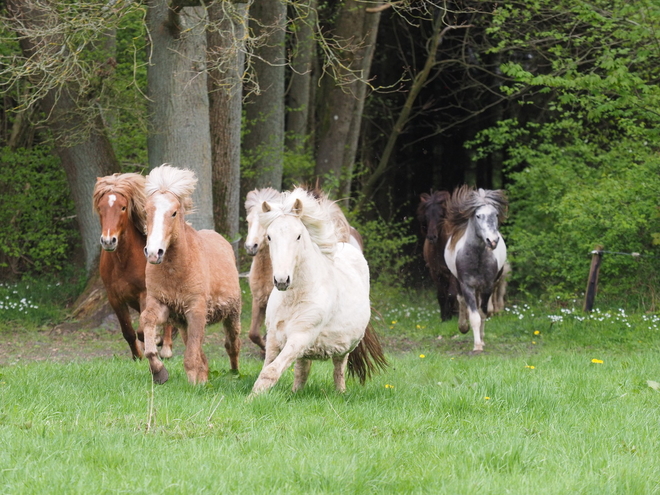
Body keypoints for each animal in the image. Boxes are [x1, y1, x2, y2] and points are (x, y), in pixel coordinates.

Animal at [93, 174, 175, 360]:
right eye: (100, 208)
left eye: (123, 207)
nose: (108, 241)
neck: (123, 262)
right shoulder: (115, 298)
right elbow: (128, 332)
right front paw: (138, 356)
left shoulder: (144, 294)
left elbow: (142, 331)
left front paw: (155, 343)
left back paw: (166, 348)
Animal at [141, 165, 242, 386]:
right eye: (146, 211)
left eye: (173, 212)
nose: (153, 252)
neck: (176, 270)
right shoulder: (162, 304)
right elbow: (148, 323)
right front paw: (159, 372)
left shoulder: (196, 310)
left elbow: (191, 354)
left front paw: (195, 384)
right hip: (183, 322)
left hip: (232, 315)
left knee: (232, 345)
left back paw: (235, 373)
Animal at [251, 188, 386, 398]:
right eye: (270, 237)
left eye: (298, 236)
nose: (281, 280)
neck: (294, 298)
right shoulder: (273, 336)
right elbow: (268, 367)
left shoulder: (301, 335)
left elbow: (270, 371)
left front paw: (251, 399)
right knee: (302, 370)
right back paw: (296, 393)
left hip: (344, 348)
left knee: (338, 369)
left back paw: (340, 394)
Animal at [418, 190, 458, 322]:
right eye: (426, 216)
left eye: (441, 215)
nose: (431, 237)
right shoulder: (436, 272)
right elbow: (441, 295)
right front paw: (445, 317)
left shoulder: (452, 272)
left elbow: (452, 294)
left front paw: (452, 314)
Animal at [444, 185, 510, 352]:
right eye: (478, 216)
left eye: (496, 214)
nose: (492, 241)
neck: (477, 257)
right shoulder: (467, 285)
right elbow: (474, 316)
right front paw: (477, 346)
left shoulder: (488, 286)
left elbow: (482, 313)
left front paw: (481, 340)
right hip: (457, 281)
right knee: (461, 301)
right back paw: (463, 327)